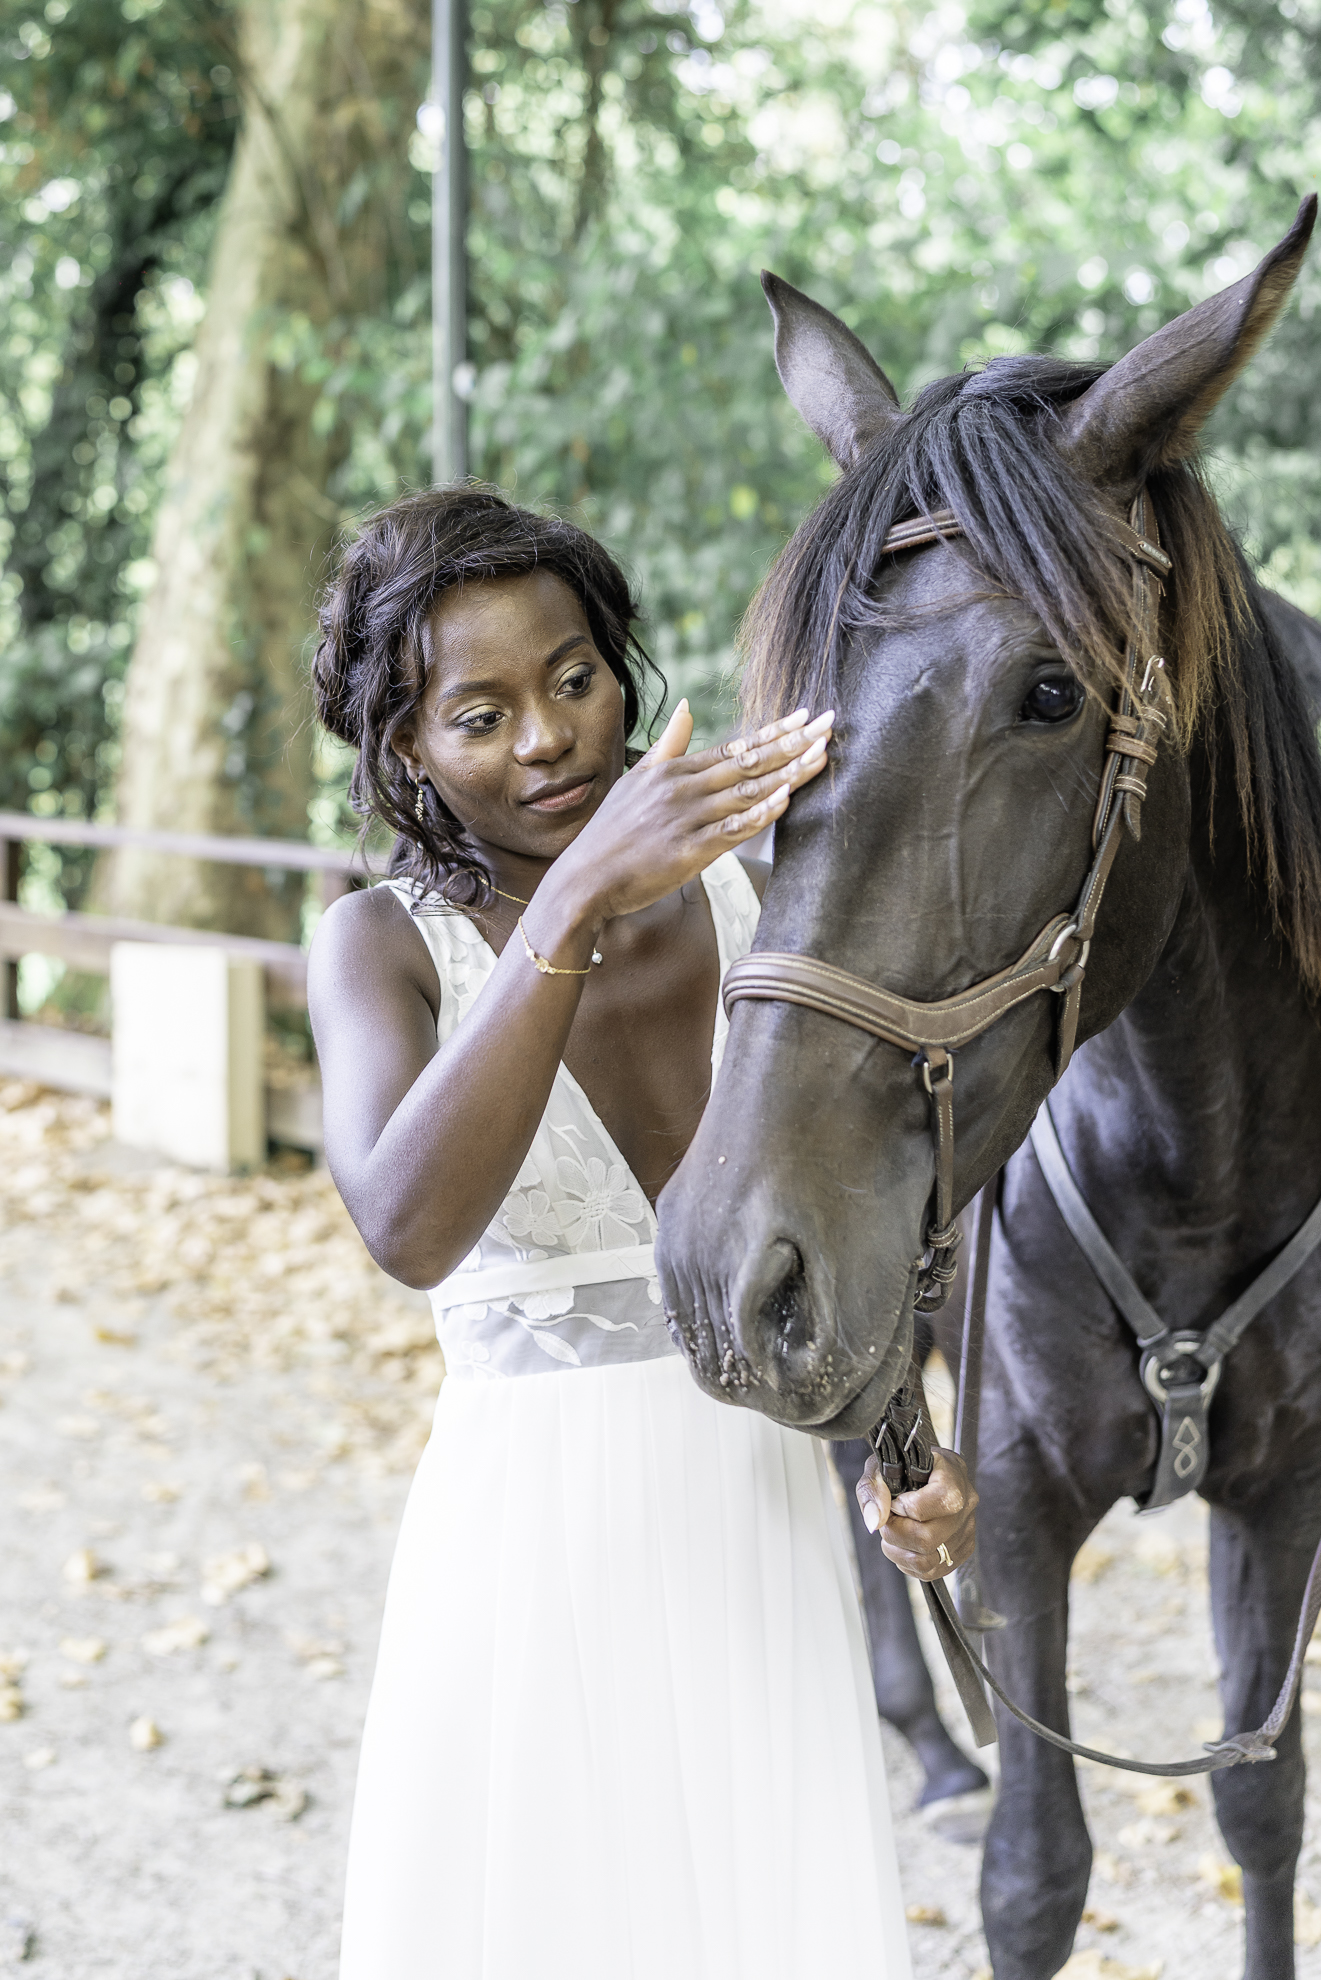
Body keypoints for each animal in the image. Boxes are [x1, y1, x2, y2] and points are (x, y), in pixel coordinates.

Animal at [656, 198, 1321, 1978]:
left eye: (1048, 693)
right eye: (776, 719)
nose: (729, 1260)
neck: (1198, 1157)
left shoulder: (1284, 1495)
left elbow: (1260, 1808)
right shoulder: (1015, 1508)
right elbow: (1036, 1875)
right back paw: (926, 1742)